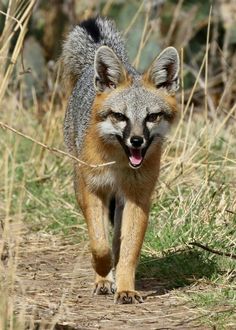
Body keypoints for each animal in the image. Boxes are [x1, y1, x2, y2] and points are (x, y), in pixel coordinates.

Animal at [60, 16, 179, 304]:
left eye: (152, 117)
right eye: (120, 116)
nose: (137, 141)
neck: (118, 165)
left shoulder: (139, 197)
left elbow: (128, 250)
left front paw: (125, 287)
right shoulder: (93, 191)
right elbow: (98, 245)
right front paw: (103, 273)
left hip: (122, 201)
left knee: (117, 240)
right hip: (81, 185)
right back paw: (104, 279)